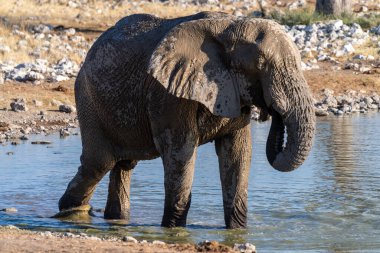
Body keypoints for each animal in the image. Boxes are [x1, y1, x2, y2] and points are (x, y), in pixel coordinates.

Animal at [58, 11, 314, 229]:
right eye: (260, 64)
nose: (273, 112)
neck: (230, 25)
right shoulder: (168, 93)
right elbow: (181, 150)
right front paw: (173, 231)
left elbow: (237, 152)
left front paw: (237, 232)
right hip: (88, 96)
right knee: (99, 163)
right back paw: (70, 213)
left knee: (123, 164)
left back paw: (114, 218)